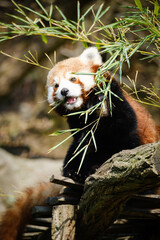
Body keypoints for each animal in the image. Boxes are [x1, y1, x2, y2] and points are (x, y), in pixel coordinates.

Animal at [0, 47, 159, 240]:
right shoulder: (78, 125)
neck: (84, 108)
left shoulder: (116, 100)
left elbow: (122, 128)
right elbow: (82, 145)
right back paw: (75, 172)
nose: (64, 91)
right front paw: (79, 169)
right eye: (56, 85)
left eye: (73, 78)